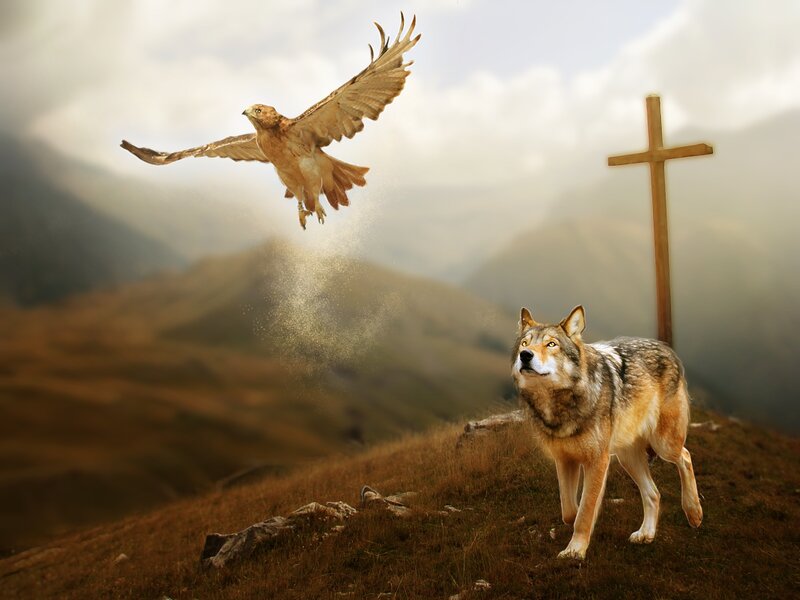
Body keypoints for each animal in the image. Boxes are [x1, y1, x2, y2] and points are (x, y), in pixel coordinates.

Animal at [511, 305, 703, 560]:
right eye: (525, 343)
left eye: (551, 344)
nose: (525, 355)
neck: (562, 405)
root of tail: (666, 347)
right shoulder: (564, 460)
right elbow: (570, 510)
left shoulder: (598, 460)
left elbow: (585, 510)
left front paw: (575, 550)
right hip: (627, 458)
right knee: (654, 493)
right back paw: (646, 534)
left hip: (663, 445)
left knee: (685, 456)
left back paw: (694, 512)